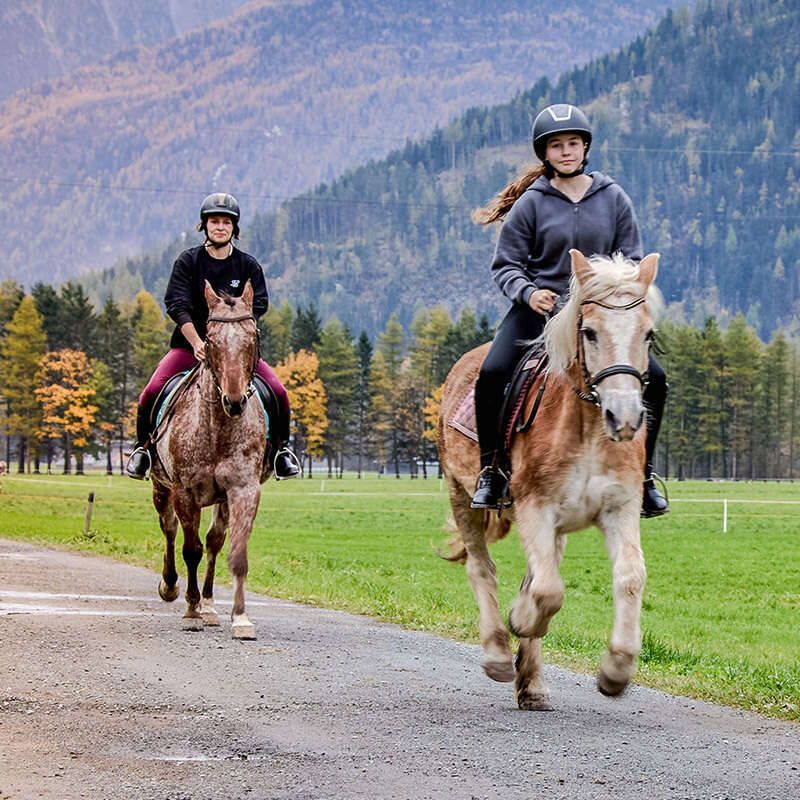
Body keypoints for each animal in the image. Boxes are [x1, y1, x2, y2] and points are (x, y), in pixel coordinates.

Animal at [152, 280, 270, 636]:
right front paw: (190, 610)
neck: (218, 427)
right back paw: (171, 587)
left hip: (221, 499)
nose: (234, 400)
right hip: (161, 488)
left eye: (252, 337)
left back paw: (208, 606)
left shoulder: (244, 490)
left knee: (214, 541)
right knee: (170, 529)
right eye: (211, 339)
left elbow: (236, 554)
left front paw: (240, 618)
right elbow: (190, 550)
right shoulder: (185, 492)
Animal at [438, 252, 664, 712]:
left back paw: (532, 684)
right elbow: (547, 592)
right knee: (481, 568)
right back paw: (498, 653)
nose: (625, 418)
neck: (587, 428)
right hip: (460, 494)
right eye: (589, 331)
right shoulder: (534, 508)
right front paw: (520, 619)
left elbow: (630, 576)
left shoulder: (619, 508)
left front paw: (616, 670)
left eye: (648, 334)